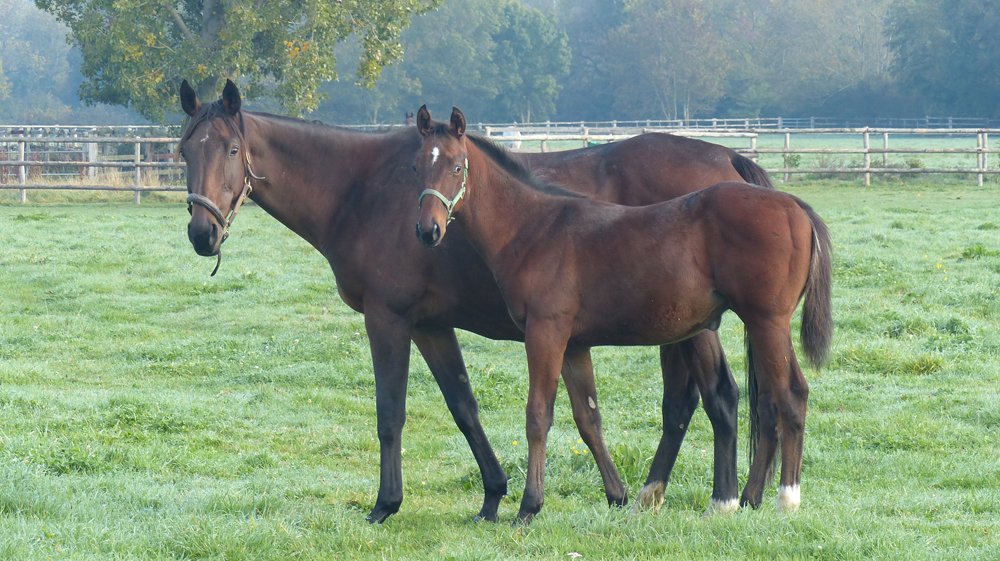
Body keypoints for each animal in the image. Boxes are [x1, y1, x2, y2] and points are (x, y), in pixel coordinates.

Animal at [177, 79, 776, 523]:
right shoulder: (430, 326)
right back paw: (663, 494)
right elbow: (463, 405)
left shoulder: (388, 319)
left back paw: (726, 498)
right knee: (689, 403)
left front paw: (385, 504)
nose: (202, 234)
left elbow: (390, 413)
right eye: (183, 149)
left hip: (695, 328)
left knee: (721, 398)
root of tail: (727, 156)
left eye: (232, 149)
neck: (362, 189)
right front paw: (493, 495)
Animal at [412, 106, 832, 524]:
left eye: (456, 167)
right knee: (765, 401)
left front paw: (529, 507)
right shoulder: (574, 345)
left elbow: (538, 415)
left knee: (789, 395)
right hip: (757, 326)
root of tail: (796, 206)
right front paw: (616, 496)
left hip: (767, 321)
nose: (427, 230)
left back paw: (785, 498)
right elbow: (588, 416)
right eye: (418, 165)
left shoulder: (545, 332)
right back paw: (742, 499)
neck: (535, 228)